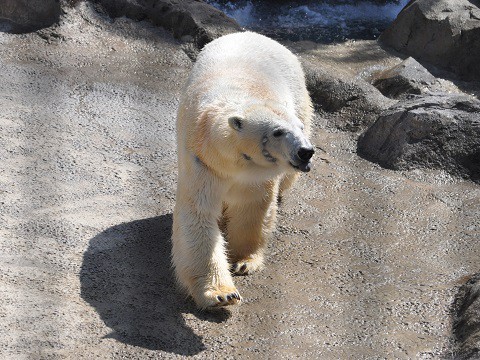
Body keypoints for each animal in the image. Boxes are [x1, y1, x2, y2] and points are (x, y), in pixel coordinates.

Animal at [171, 31, 314, 310]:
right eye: (277, 131)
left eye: (298, 129)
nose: (305, 151)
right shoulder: (202, 162)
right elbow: (198, 213)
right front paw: (221, 294)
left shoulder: (256, 174)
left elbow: (252, 206)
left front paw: (243, 261)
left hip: (300, 94)